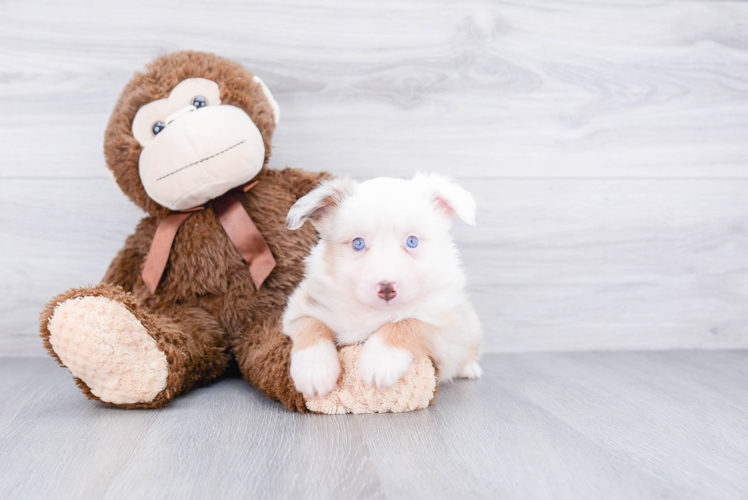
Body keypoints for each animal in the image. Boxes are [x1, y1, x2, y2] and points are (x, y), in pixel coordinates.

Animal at [282, 173, 486, 398]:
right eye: (358, 243)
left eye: (412, 241)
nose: (386, 288)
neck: (374, 311)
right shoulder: (299, 307)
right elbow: (312, 324)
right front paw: (314, 371)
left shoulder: (446, 327)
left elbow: (409, 322)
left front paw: (380, 361)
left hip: (472, 329)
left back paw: (469, 368)